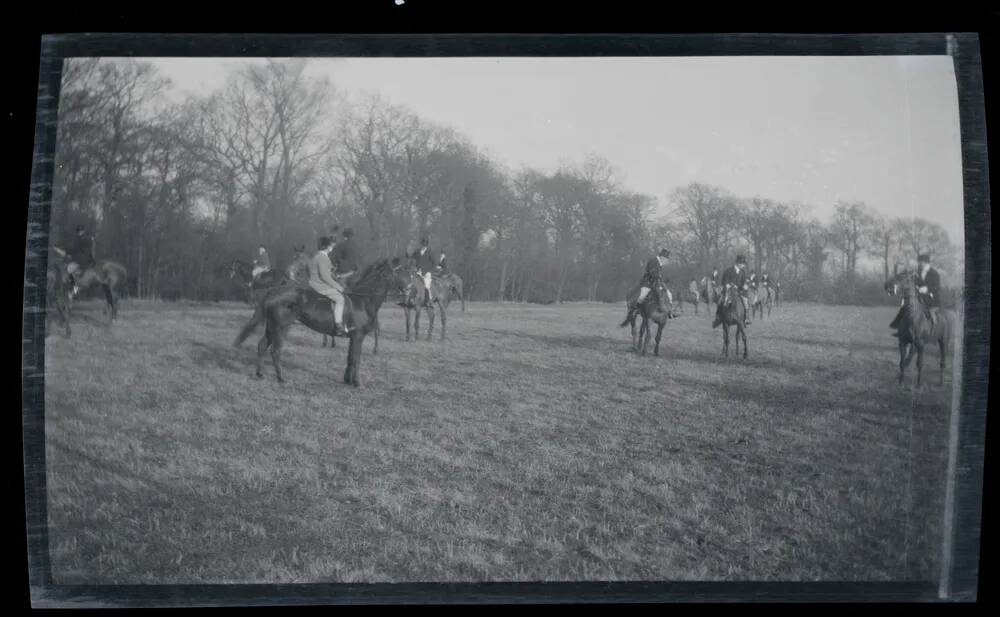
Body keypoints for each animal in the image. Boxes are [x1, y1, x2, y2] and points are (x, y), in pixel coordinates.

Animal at [232, 256, 408, 384]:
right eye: (394, 273)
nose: (406, 289)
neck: (363, 301)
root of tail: (273, 291)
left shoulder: (353, 337)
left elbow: (350, 358)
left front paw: (347, 380)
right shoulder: (358, 336)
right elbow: (355, 359)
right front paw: (356, 383)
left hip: (272, 327)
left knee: (262, 346)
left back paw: (260, 374)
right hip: (281, 327)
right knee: (275, 351)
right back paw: (281, 378)